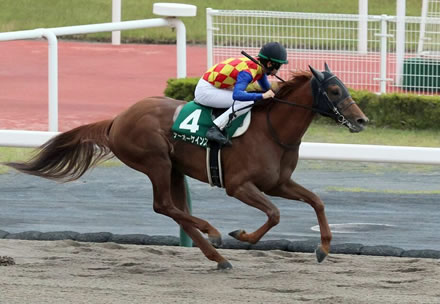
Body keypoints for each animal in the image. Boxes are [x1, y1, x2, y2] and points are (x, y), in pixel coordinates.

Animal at [4, 64, 368, 268]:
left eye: (344, 87)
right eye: (334, 89)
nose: (362, 120)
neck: (273, 131)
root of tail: (116, 120)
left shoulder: (277, 183)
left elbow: (316, 201)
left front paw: (323, 248)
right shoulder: (239, 185)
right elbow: (275, 214)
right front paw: (243, 235)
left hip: (175, 168)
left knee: (175, 209)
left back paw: (218, 258)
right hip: (156, 161)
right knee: (164, 205)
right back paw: (214, 232)